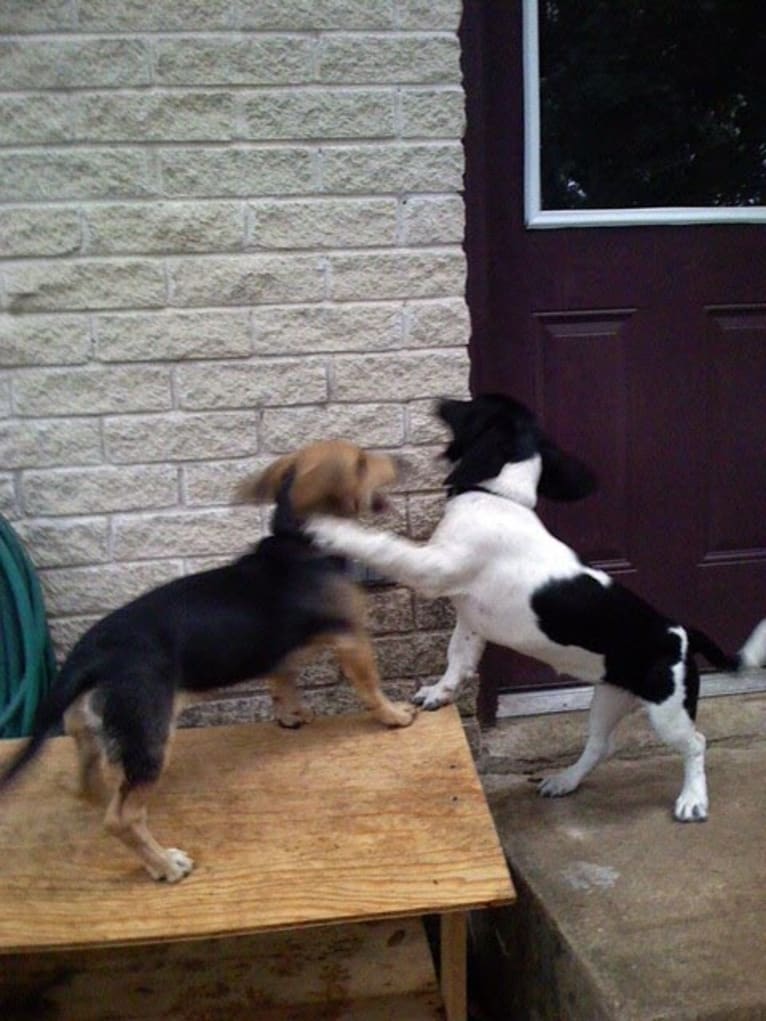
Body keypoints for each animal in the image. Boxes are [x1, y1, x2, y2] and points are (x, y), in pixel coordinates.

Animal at [0, 443, 414, 882]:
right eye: (363, 462)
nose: (403, 462)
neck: (298, 539)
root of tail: (91, 653)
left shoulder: (280, 654)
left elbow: (283, 683)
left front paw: (293, 715)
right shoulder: (353, 640)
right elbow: (370, 686)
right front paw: (394, 715)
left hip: (90, 732)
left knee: (92, 782)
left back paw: (101, 797)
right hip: (149, 735)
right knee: (121, 818)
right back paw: (164, 864)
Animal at [308, 392, 766, 820]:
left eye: (472, 405)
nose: (439, 401)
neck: (498, 496)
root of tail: (682, 632)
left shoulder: (433, 569)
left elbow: (386, 548)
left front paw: (329, 530)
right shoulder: (470, 622)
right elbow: (458, 660)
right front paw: (440, 692)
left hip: (667, 710)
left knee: (695, 744)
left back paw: (693, 799)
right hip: (609, 695)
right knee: (600, 746)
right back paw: (565, 781)